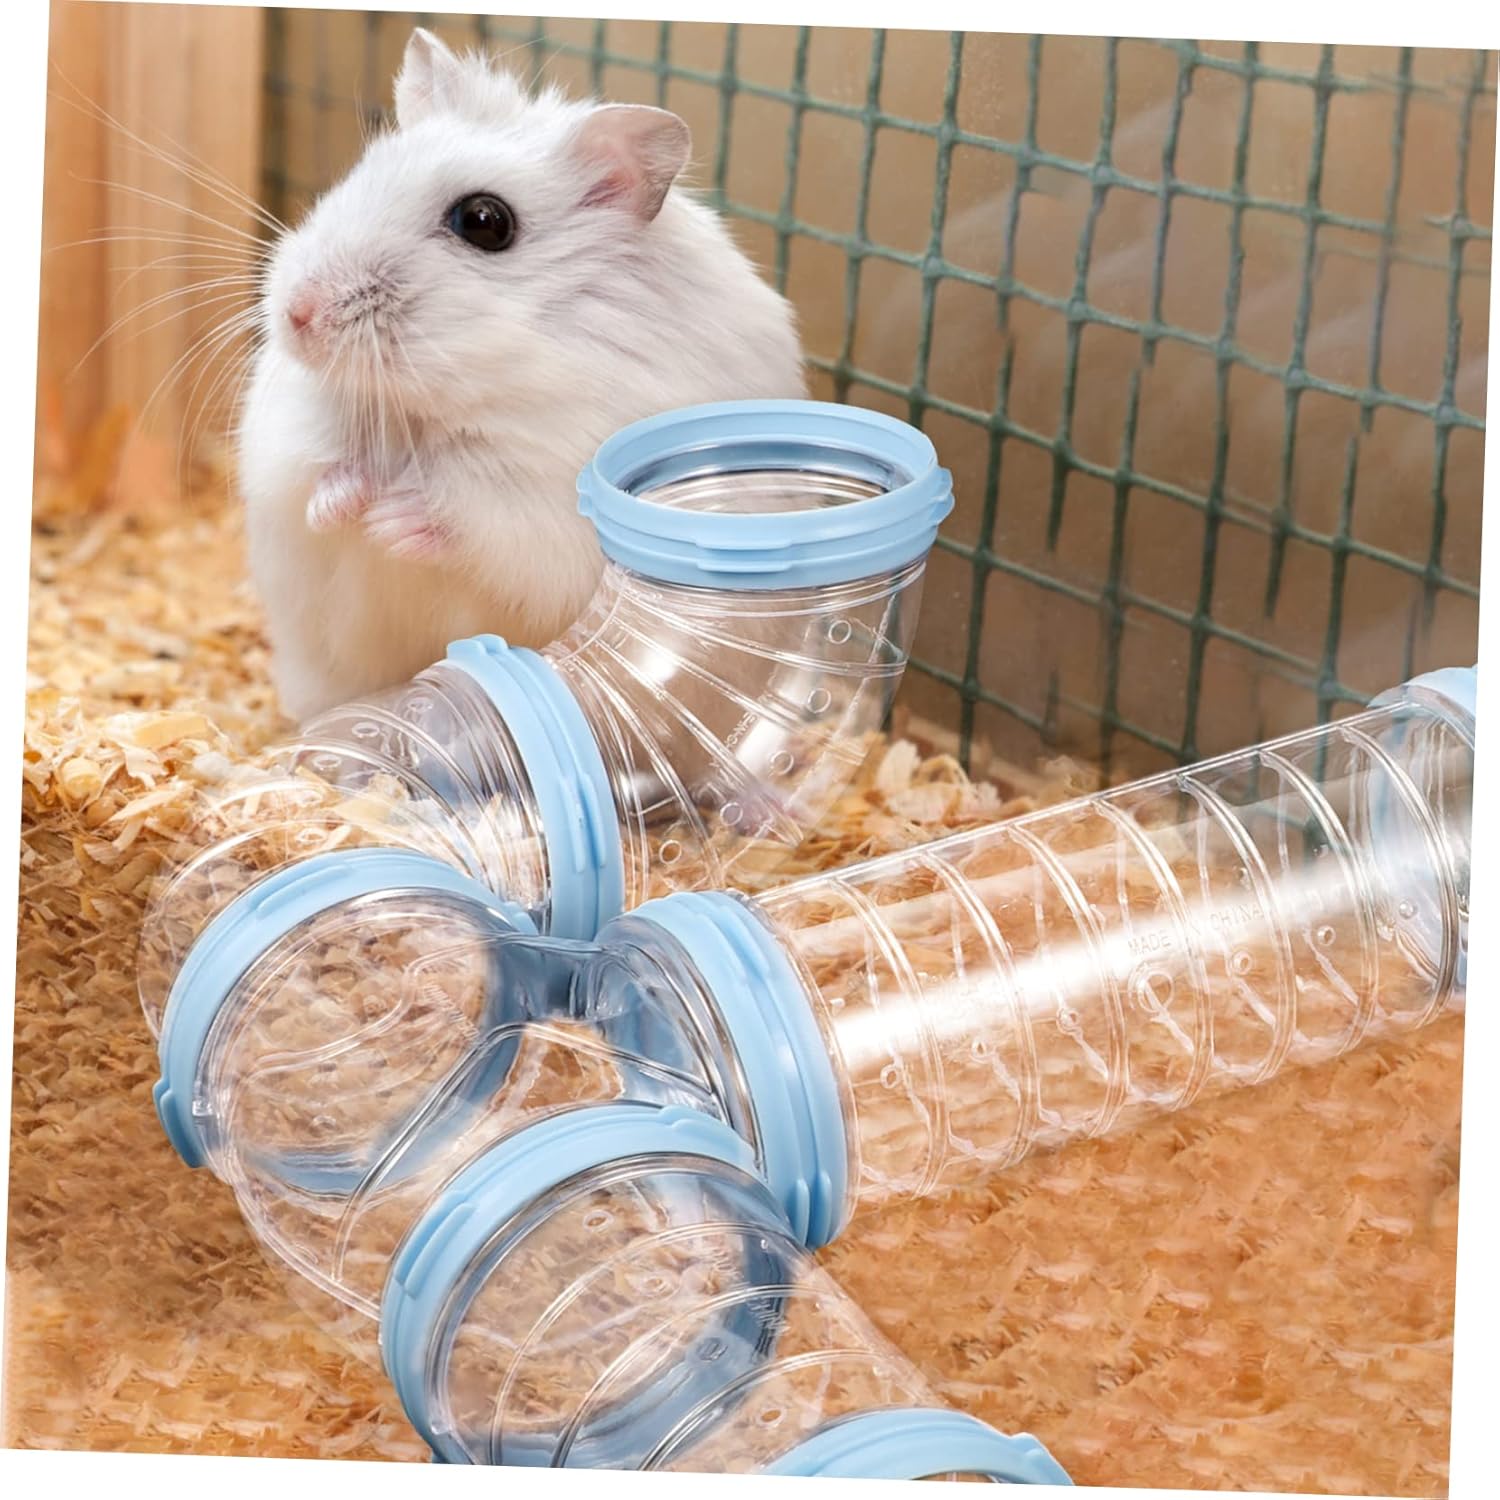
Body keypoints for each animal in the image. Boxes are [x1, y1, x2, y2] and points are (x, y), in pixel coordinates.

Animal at [238, 27, 807, 722]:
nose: (297, 314)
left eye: (485, 221)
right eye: (360, 175)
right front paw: (348, 507)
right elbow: (313, 476)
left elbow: (479, 511)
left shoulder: (544, 502)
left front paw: (389, 522)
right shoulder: (288, 440)